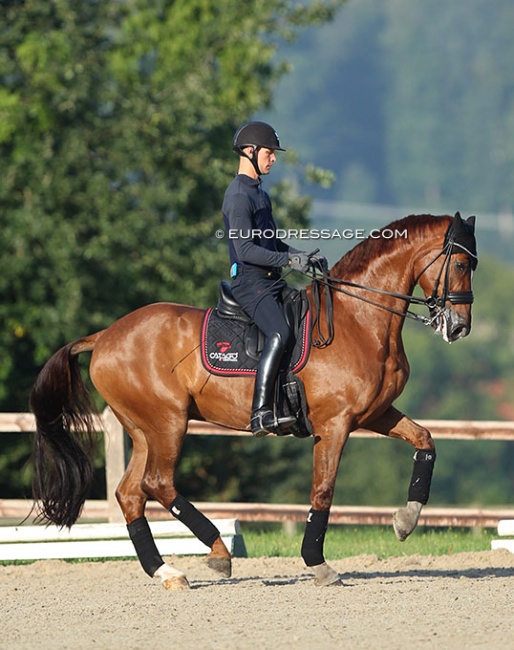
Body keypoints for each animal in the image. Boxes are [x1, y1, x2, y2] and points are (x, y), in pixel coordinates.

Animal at [29, 211, 476, 588]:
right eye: (459, 264)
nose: (459, 327)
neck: (358, 320)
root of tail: (105, 335)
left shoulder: (374, 415)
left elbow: (425, 441)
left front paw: (406, 521)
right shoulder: (334, 424)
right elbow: (323, 491)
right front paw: (318, 564)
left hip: (143, 430)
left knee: (131, 494)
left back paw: (166, 572)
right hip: (168, 422)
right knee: (157, 483)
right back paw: (218, 551)